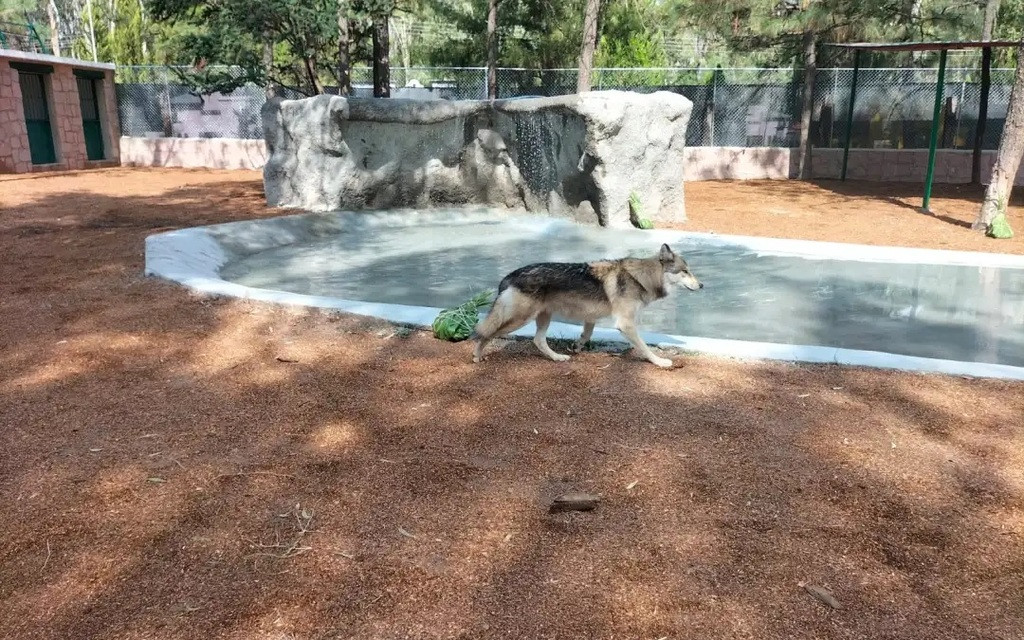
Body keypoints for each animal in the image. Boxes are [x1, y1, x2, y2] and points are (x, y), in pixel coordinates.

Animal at [471, 243, 704, 366]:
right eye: (685, 271)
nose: (702, 285)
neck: (641, 277)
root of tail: (509, 276)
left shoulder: (591, 315)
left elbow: (588, 333)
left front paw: (577, 346)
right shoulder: (625, 324)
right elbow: (644, 347)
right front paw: (660, 362)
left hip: (543, 317)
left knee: (538, 341)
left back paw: (558, 358)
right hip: (519, 319)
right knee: (486, 332)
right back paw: (477, 356)